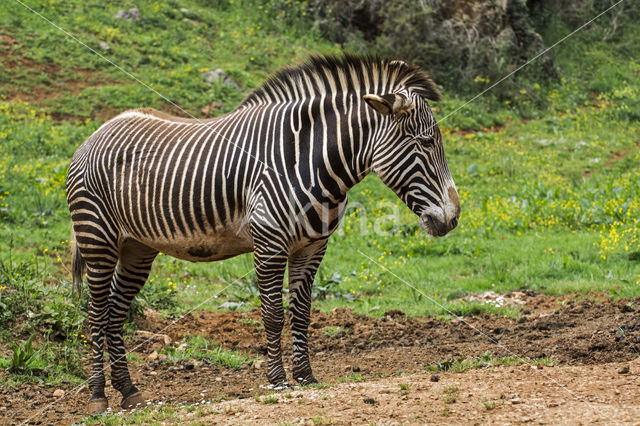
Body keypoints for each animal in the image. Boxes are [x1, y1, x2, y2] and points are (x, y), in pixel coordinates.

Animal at [66, 55, 460, 414]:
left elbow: (301, 312)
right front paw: (278, 379)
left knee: (115, 312)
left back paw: (129, 391)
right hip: (97, 240)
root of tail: (96, 132)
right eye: (426, 143)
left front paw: (305, 376)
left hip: (136, 248)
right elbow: (272, 313)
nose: (454, 218)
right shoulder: (270, 243)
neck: (309, 160)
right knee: (95, 313)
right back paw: (98, 396)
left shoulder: (312, 247)